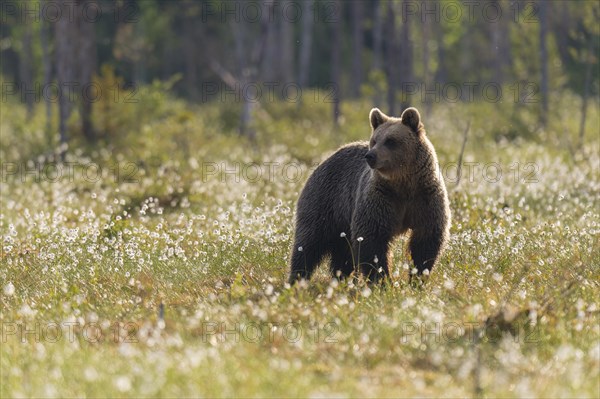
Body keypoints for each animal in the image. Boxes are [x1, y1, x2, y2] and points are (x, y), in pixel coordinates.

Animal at [290, 106, 450, 284]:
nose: (370, 156)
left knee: (343, 251)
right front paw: (382, 280)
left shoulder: (424, 197)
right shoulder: (381, 197)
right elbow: (372, 238)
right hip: (326, 200)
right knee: (310, 242)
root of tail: (325, 159)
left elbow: (426, 239)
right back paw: (297, 277)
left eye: (390, 141)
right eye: (374, 140)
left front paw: (418, 278)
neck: (403, 185)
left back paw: (341, 277)